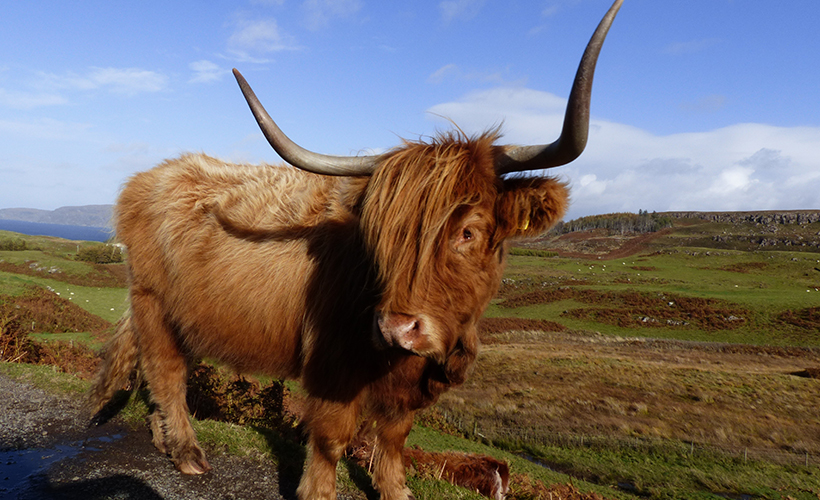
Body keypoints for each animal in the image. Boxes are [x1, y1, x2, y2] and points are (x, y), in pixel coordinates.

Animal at [88, 1, 620, 498]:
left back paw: (163, 437)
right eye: (381, 235)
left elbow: (395, 436)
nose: (397, 327)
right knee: (166, 372)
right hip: (153, 303)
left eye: (468, 232)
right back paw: (186, 452)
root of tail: (153, 175)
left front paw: (395, 489)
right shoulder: (332, 366)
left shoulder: (408, 384)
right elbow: (331, 437)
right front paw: (319, 491)